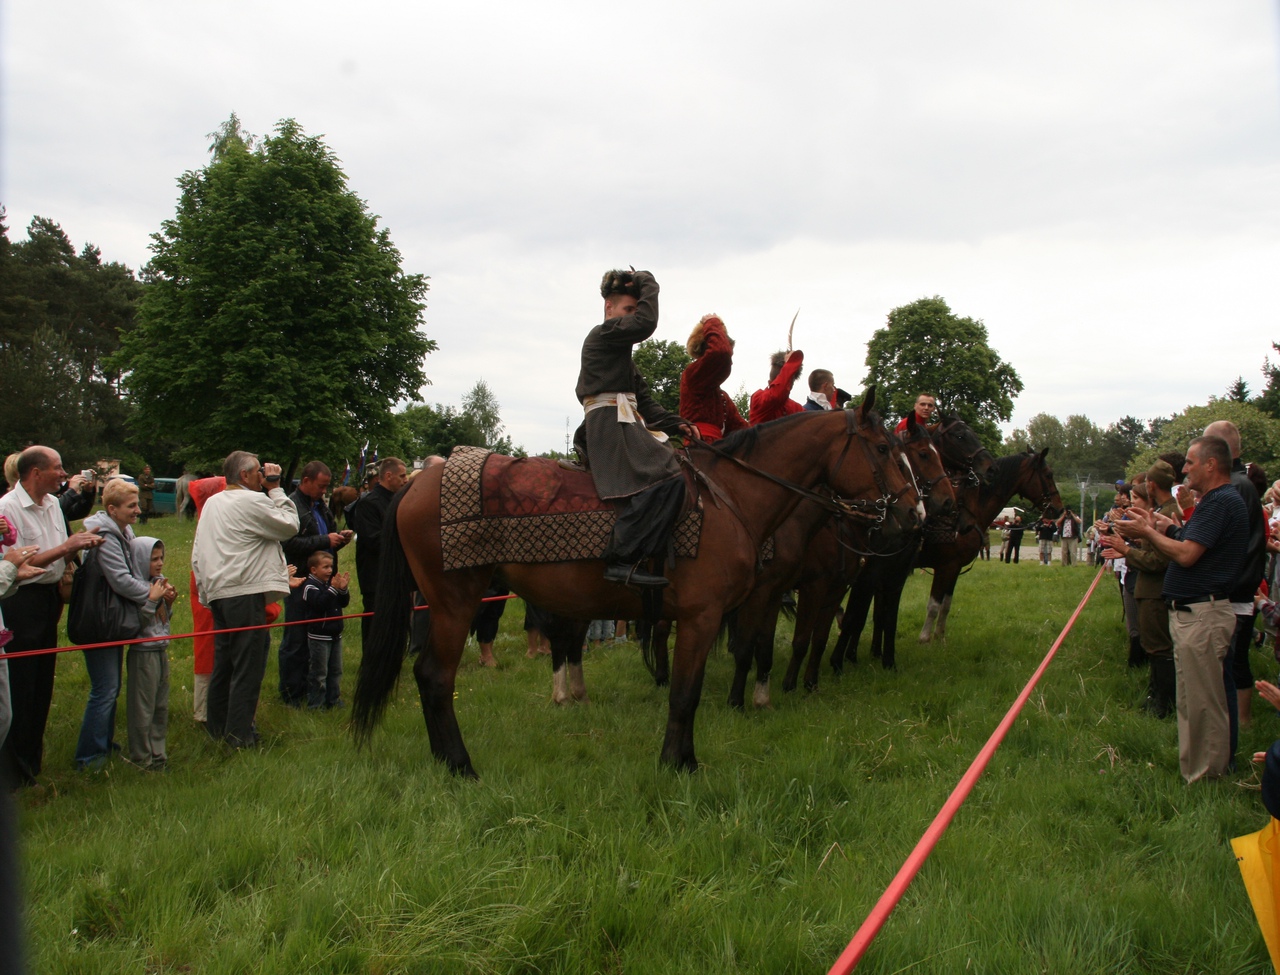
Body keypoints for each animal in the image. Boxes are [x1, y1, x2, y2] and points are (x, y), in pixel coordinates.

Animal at [350, 394, 921, 772]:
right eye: (883, 449)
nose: (913, 515)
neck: (731, 497)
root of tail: (417, 483)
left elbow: (699, 685)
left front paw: (686, 756)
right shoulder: (704, 617)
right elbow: (687, 694)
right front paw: (677, 764)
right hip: (453, 603)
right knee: (434, 676)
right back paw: (460, 765)